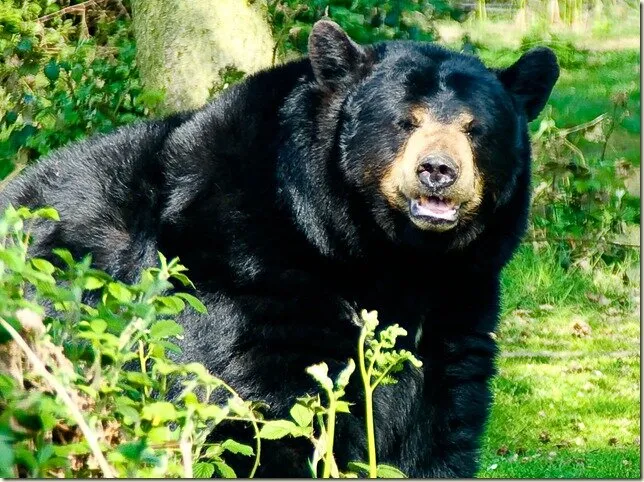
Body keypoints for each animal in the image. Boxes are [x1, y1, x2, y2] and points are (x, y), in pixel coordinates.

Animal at [0, 20, 559, 477]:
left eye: (475, 129)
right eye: (407, 120)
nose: (438, 170)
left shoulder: (461, 297)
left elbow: (441, 423)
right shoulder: (244, 271)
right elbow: (263, 413)